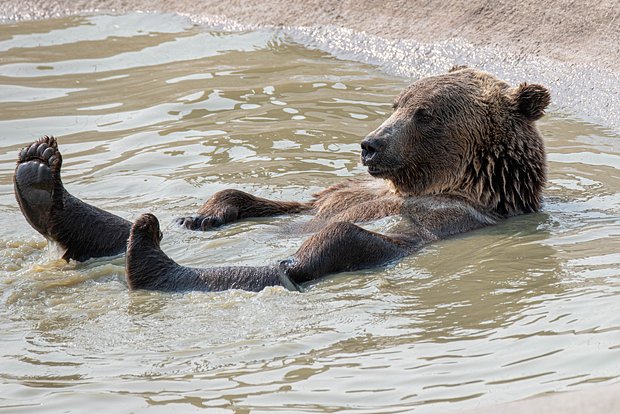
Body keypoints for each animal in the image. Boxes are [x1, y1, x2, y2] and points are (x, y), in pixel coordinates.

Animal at [13, 67, 548, 292]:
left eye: (426, 114)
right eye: (397, 103)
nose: (370, 144)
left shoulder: (447, 218)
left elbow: (360, 231)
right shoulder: (341, 191)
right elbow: (268, 199)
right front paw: (204, 216)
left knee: (311, 255)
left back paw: (148, 259)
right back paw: (39, 175)